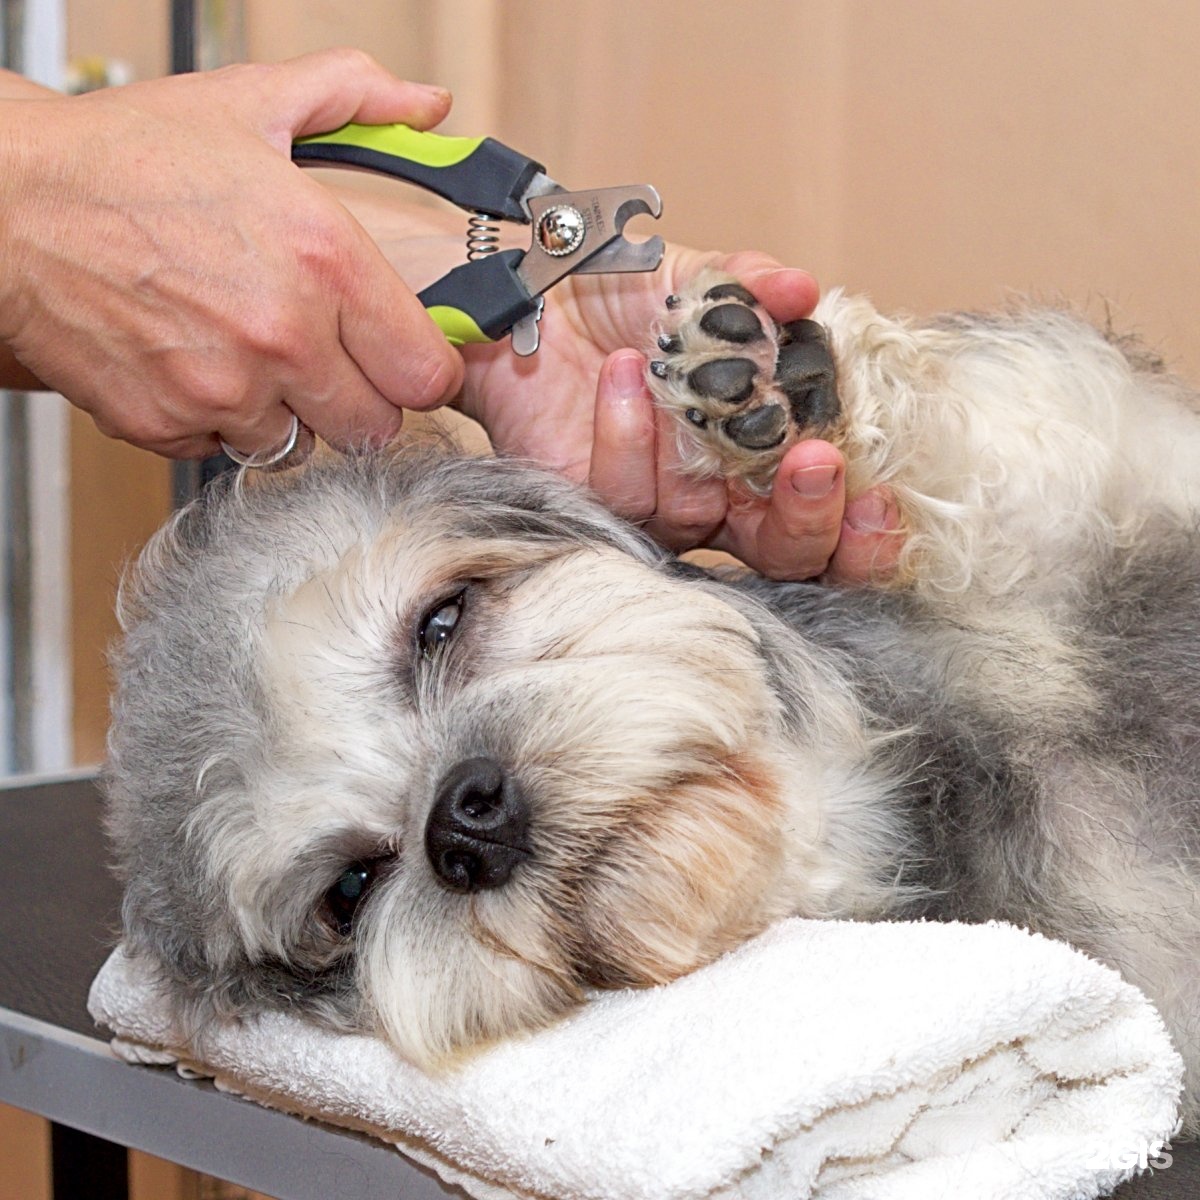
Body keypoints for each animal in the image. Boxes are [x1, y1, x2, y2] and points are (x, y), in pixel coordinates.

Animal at [103, 276, 1200, 1128]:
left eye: (441, 620)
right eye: (348, 892)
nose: (466, 824)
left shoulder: (1104, 459)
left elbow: (991, 437)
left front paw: (797, 384)